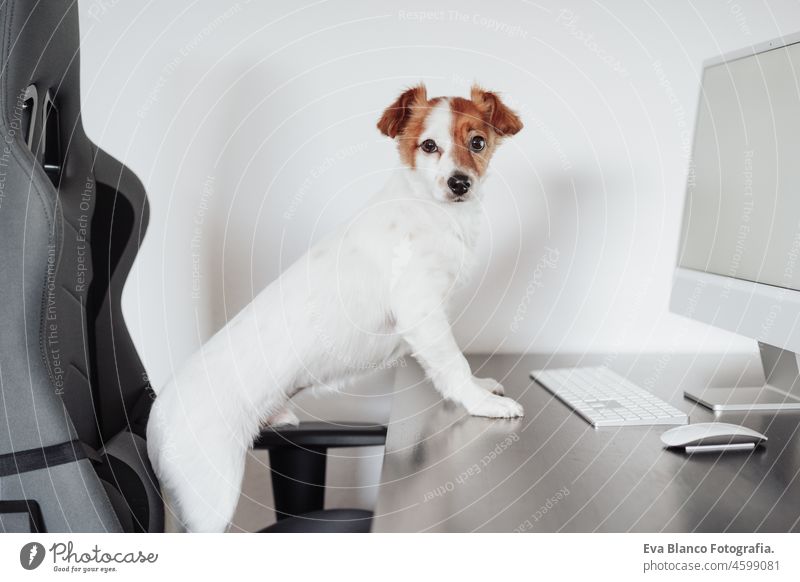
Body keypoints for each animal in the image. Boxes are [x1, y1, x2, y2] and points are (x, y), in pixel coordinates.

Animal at [147, 83, 524, 532]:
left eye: (477, 142)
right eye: (429, 145)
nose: (459, 183)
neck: (433, 212)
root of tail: (155, 418)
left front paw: (482, 386)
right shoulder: (421, 314)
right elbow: (453, 364)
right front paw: (481, 402)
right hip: (211, 500)